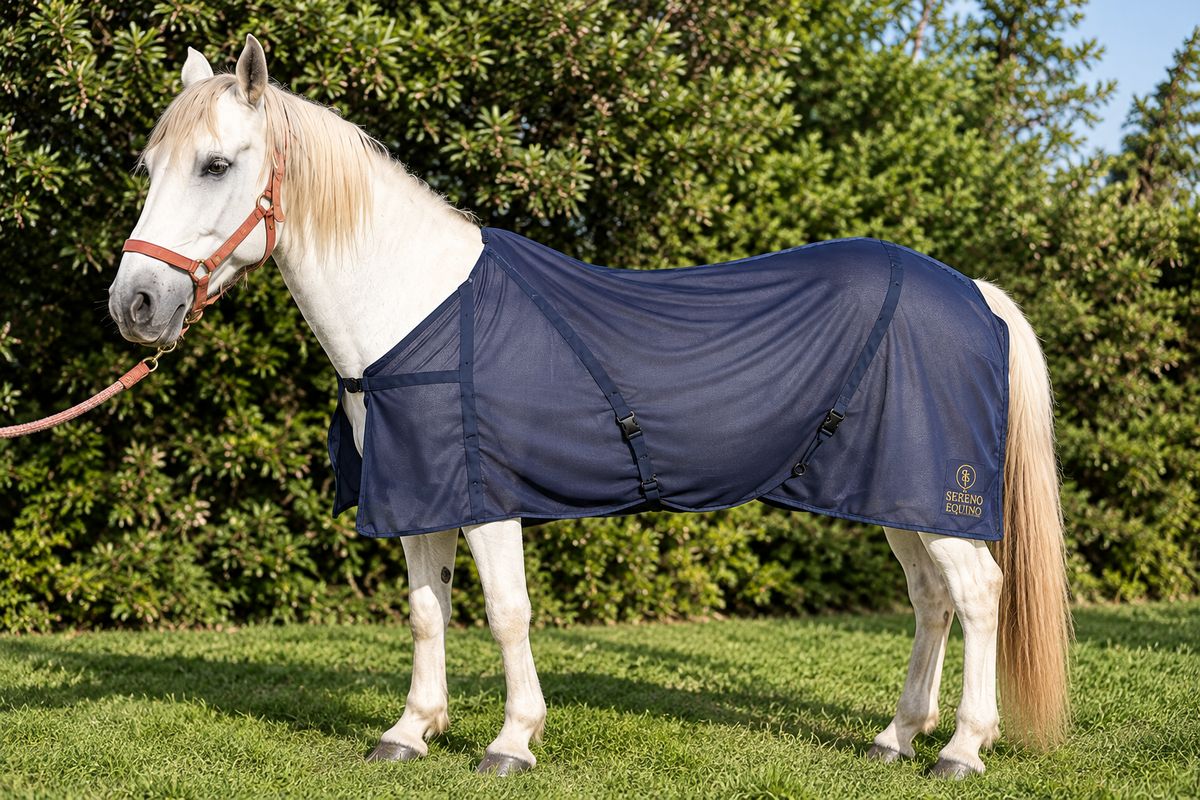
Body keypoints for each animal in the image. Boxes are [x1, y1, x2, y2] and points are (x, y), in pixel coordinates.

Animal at [108, 36, 1071, 778]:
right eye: (149, 167)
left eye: (217, 165)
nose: (135, 305)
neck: (419, 308)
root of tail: (973, 293)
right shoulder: (419, 497)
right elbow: (426, 611)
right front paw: (411, 731)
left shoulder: (486, 501)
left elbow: (506, 613)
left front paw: (511, 741)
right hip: (895, 497)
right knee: (931, 599)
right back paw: (897, 737)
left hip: (935, 494)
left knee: (978, 593)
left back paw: (964, 749)